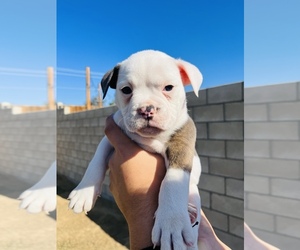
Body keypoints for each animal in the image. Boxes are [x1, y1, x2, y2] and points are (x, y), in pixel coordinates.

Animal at [69, 49, 203, 249]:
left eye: (168, 88)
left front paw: (172, 222)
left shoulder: (183, 140)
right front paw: (84, 191)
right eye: (126, 90)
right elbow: (96, 160)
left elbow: (172, 181)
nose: (147, 109)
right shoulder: (111, 135)